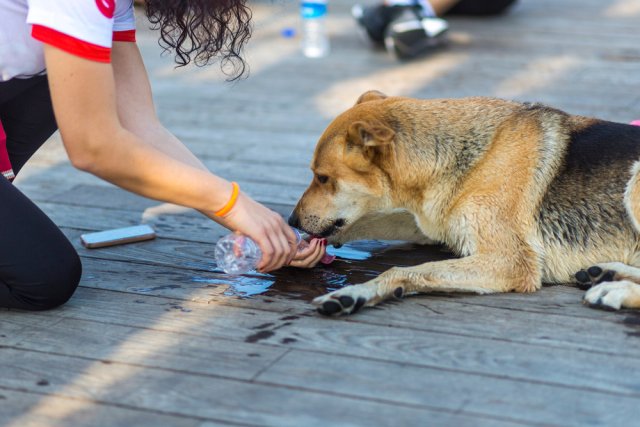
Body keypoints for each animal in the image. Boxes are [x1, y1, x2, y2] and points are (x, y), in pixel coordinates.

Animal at [292, 90, 640, 316]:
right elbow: (381, 222)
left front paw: (356, 293)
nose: (292, 222)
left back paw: (615, 289)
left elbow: (405, 269)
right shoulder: (435, 225)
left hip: (634, 183)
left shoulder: (509, 262)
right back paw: (606, 274)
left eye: (322, 177)